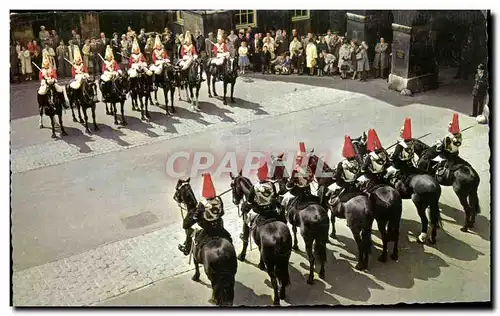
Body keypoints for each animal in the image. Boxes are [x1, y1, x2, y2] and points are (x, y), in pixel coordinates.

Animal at [230, 172, 292, 304]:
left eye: (232, 186)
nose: (234, 201)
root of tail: (279, 238)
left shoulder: (246, 224)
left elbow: (245, 241)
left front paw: (242, 256)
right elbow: (259, 248)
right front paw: (260, 263)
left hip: (271, 263)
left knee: (274, 279)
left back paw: (276, 299)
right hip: (284, 259)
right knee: (283, 277)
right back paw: (282, 294)